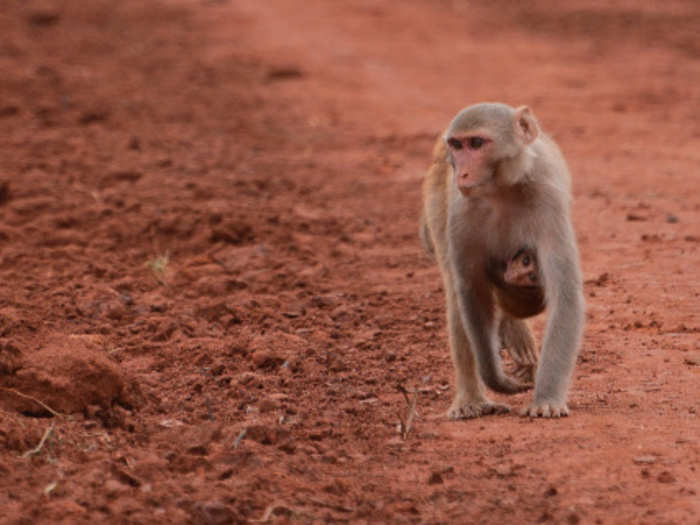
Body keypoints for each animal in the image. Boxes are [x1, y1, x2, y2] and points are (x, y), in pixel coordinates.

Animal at [422, 101, 584, 418]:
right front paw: (494, 377)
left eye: (477, 143)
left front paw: (546, 398)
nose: (462, 174)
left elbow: (565, 295)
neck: (503, 188)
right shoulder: (462, 211)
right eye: (457, 145)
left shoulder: (548, 200)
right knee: (455, 290)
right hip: (437, 197)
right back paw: (471, 399)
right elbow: (470, 291)